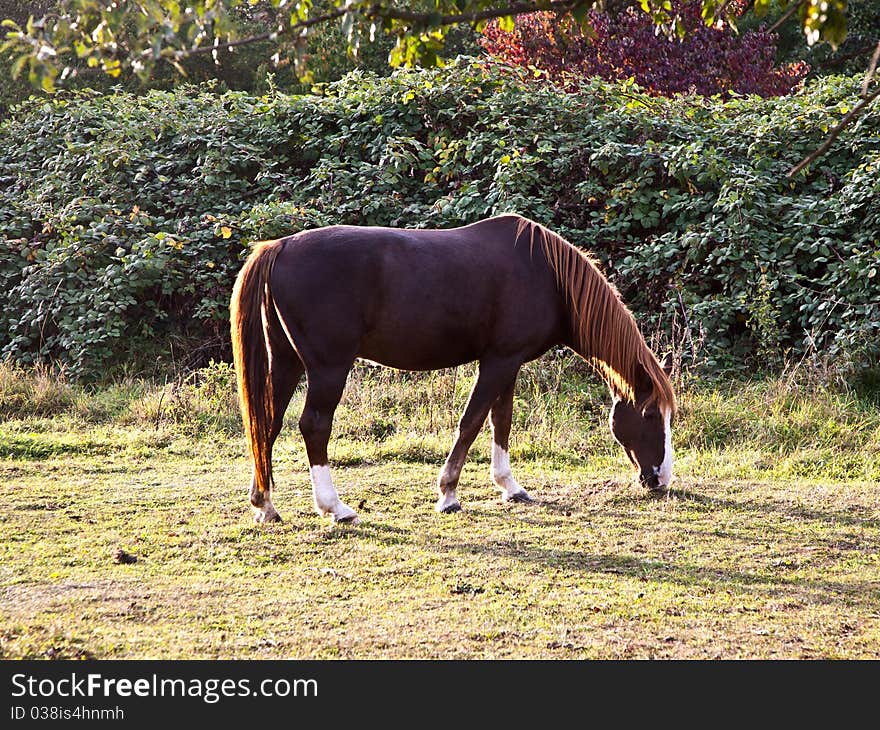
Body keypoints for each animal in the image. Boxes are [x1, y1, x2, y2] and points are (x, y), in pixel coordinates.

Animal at [230, 212, 676, 524]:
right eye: (651, 415)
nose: (661, 480)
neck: (547, 275)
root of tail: (279, 247)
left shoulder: (508, 362)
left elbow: (501, 421)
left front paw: (510, 487)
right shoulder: (498, 361)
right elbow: (472, 421)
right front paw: (447, 494)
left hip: (286, 362)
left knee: (266, 424)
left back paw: (265, 505)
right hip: (328, 368)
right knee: (314, 425)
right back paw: (335, 507)